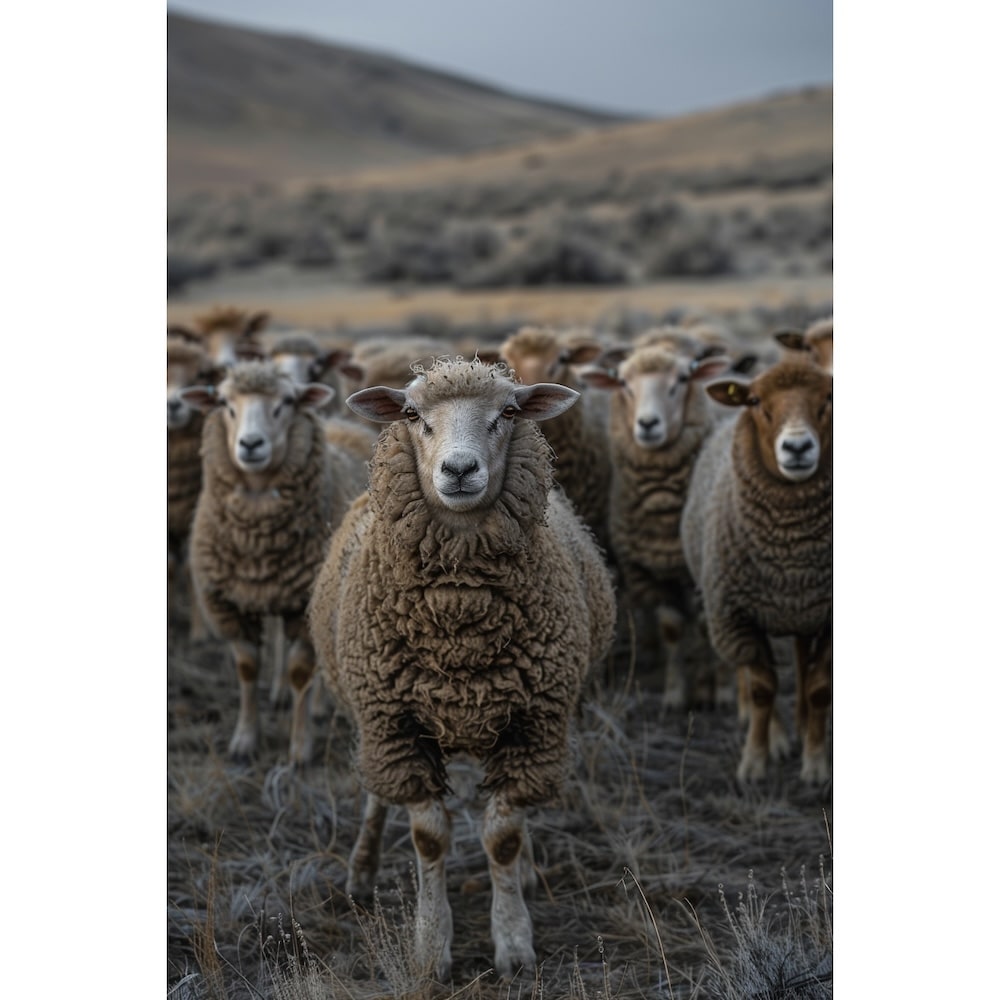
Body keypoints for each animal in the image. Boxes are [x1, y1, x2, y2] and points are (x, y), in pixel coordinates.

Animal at [180, 360, 370, 764]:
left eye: (286, 402)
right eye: (224, 403)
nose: (251, 444)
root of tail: (338, 422)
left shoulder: (304, 603)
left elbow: (301, 672)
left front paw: (300, 747)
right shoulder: (231, 604)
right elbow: (247, 669)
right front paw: (244, 740)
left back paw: (316, 707)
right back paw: (280, 693)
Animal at [307, 357, 617, 980]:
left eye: (509, 412)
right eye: (411, 415)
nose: (458, 469)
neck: (460, 617)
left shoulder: (535, 727)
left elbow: (503, 835)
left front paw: (515, 942)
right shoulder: (393, 725)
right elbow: (428, 838)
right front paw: (431, 948)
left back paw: (525, 871)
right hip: (376, 722)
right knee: (378, 796)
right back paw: (361, 871)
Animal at [579, 340, 734, 710]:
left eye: (681, 379)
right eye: (623, 383)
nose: (648, 424)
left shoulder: (700, 572)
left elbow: (706, 627)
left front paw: (716, 691)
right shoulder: (648, 571)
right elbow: (671, 630)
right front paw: (676, 694)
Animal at [680, 358, 833, 784]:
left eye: (829, 398)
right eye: (755, 402)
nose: (797, 447)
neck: (791, 552)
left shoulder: (827, 614)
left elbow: (819, 688)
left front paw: (816, 763)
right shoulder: (735, 615)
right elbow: (764, 687)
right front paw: (755, 761)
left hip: (801, 610)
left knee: (799, 655)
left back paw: (800, 724)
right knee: (752, 675)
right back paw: (773, 732)